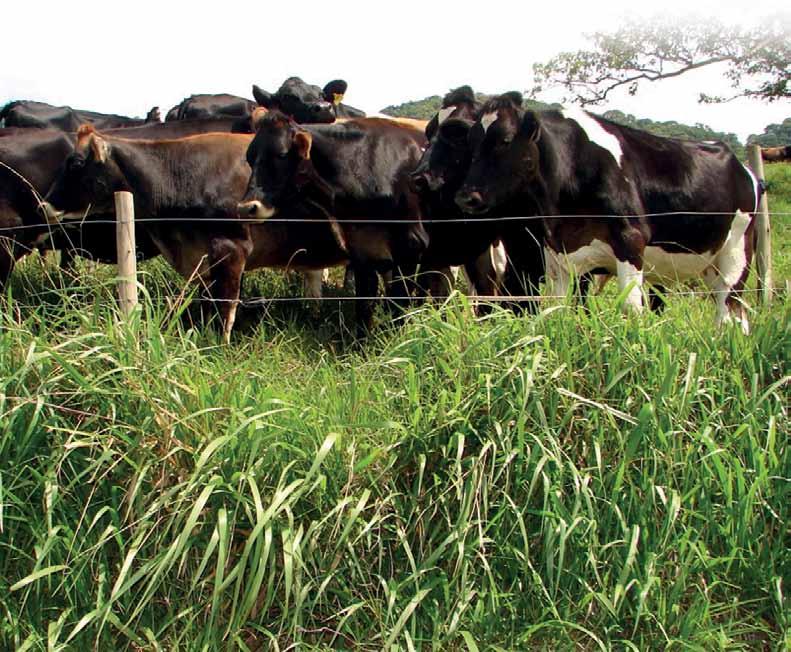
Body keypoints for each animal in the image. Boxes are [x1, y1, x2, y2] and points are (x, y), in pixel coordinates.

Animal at [238, 111, 430, 332]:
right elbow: (364, 307)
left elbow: (399, 305)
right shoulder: (362, 249)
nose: (246, 208)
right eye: (250, 158)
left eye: (282, 154)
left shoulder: (411, 246)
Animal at [454, 91, 764, 332]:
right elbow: (556, 310)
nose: (466, 196)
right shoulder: (558, 255)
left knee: (731, 312)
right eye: (472, 143)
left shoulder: (630, 240)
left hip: (737, 256)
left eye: (505, 140)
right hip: (709, 264)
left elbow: (631, 309)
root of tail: (745, 170)